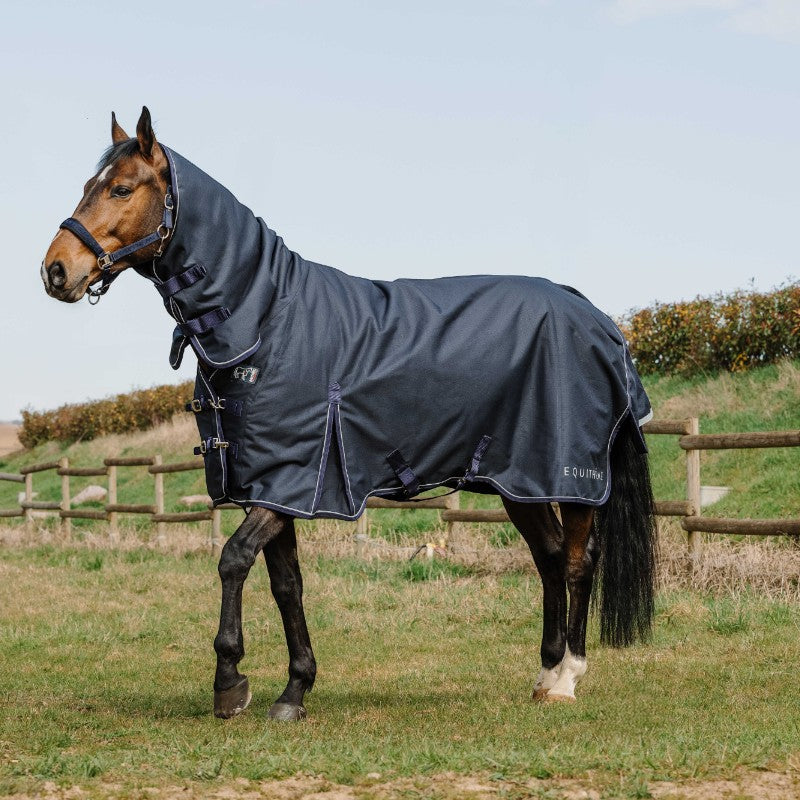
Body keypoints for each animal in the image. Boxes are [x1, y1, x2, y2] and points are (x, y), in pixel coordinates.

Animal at [41, 107, 657, 722]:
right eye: (89, 185)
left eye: (121, 189)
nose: (55, 271)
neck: (267, 320)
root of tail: (593, 315)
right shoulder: (272, 486)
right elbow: (286, 585)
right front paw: (294, 689)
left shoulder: (290, 477)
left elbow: (233, 559)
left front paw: (230, 682)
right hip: (518, 480)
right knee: (549, 558)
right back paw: (546, 671)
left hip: (569, 477)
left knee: (577, 561)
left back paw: (567, 677)